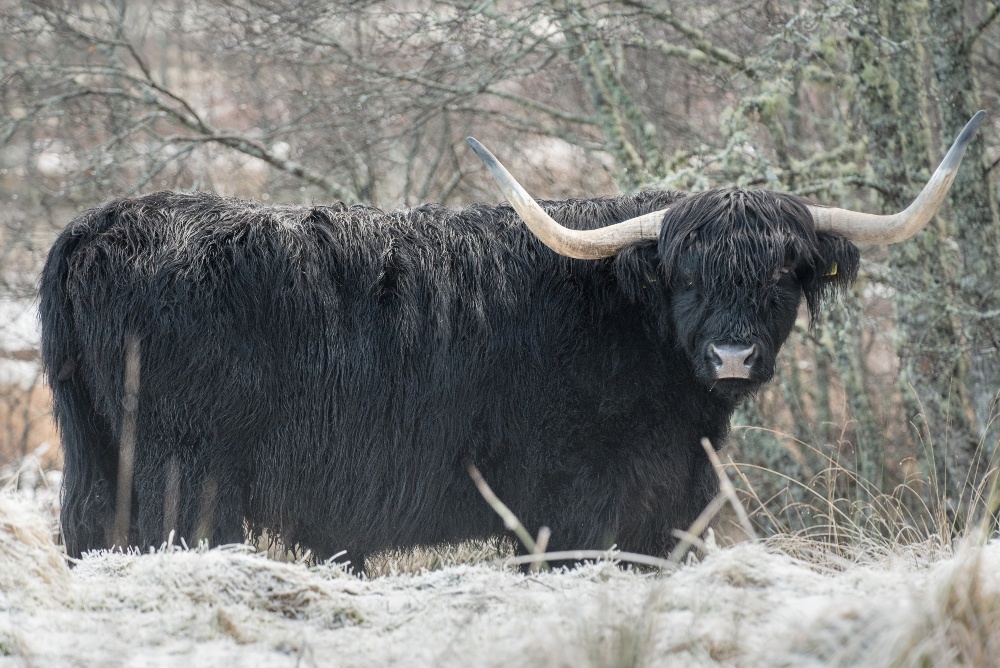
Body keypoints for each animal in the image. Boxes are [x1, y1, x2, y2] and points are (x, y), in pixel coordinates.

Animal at [41, 112, 984, 568]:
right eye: (686, 276)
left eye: (783, 273)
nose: (733, 356)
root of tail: (100, 223)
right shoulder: (591, 511)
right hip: (184, 484)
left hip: (95, 466)